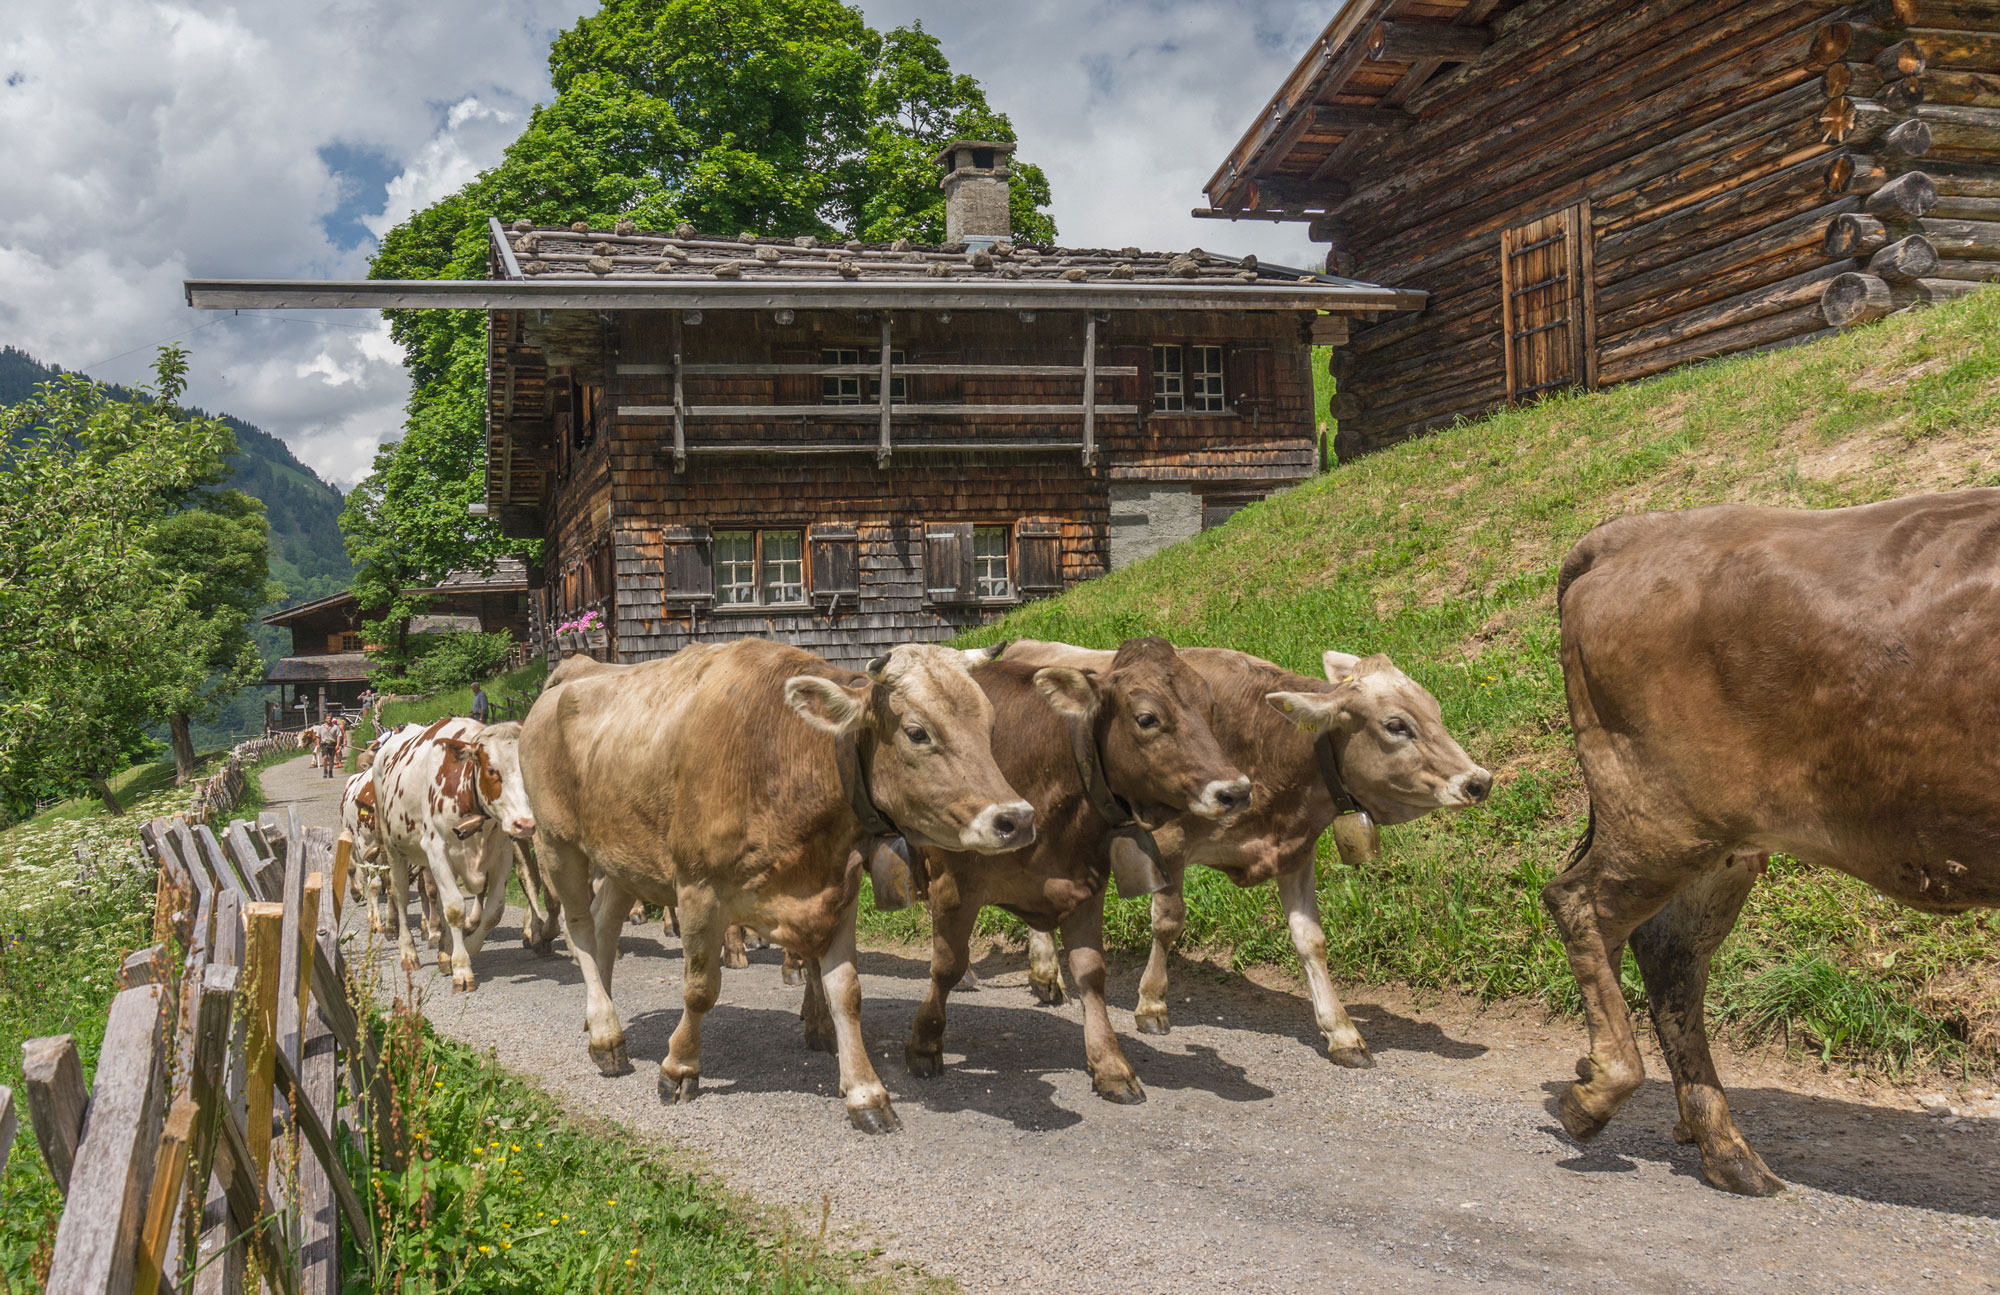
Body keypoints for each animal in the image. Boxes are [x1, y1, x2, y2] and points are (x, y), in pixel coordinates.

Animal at [372, 711, 536, 987]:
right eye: (492, 770)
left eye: (527, 766)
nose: (524, 824)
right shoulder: (437, 848)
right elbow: (455, 909)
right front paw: (461, 968)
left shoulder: (501, 853)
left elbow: (494, 911)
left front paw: (466, 948)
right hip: (393, 848)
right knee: (401, 896)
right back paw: (409, 953)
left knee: (435, 897)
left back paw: (444, 952)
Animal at [516, 635, 1032, 1135]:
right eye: (917, 732)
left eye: (989, 726)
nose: (1017, 818)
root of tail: (572, 674)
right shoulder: (698, 888)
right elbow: (700, 988)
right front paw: (679, 1067)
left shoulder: (837, 890)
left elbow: (847, 993)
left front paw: (865, 1092)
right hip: (558, 843)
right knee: (581, 929)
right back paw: (607, 1034)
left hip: (624, 858)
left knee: (604, 923)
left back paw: (597, 1016)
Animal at [908, 635, 1248, 1103]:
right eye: (1147, 718)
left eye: (1210, 708)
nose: (1236, 791)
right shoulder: (954, 885)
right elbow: (945, 964)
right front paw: (925, 1043)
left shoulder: (1083, 884)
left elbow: (1091, 973)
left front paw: (1110, 1064)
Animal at [1008, 643, 1496, 1071]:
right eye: (1396, 725)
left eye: (1435, 710)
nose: (1479, 781)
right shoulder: (1168, 844)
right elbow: (1168, 923)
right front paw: (1151, 1004)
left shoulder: (1296, 851)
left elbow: (1310, 940)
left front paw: (1341, 1031)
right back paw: (1046, 970)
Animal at [1552, 491, 2000, 1199]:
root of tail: (1633, 533)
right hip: (1663, 823)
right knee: (1580, 905)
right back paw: (1598, 1094)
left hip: (1723, 847)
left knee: (1669, 951)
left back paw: (1727, 1152)